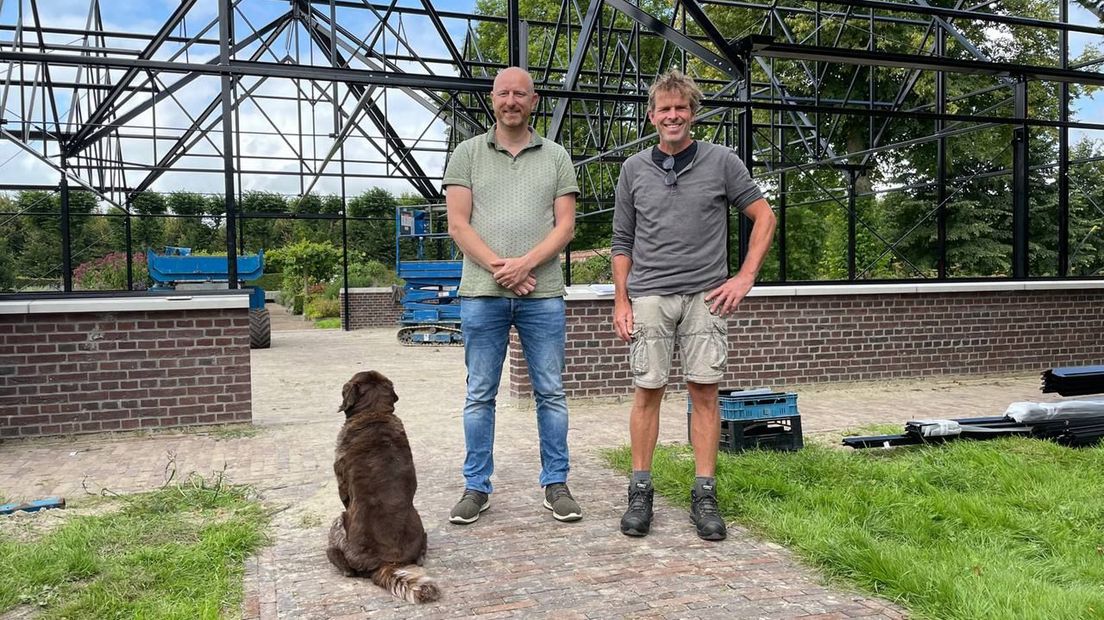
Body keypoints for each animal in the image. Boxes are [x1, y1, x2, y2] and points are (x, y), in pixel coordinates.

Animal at [322, 368, 439, 600]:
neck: (374, 414)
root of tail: (386, 562)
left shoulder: (342, 486)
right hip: (420, 525)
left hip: (338, 522)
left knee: (343, 564)